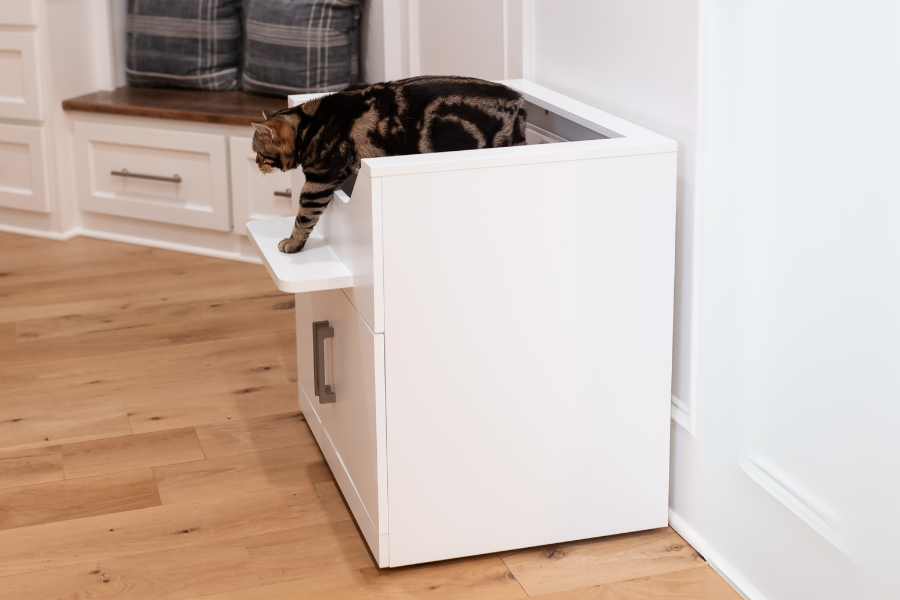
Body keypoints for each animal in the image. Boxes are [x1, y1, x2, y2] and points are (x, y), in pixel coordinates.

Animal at [252, 75, 527, 253]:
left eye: (258, 152)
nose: (256, 164)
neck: (309, 125)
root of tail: (520, 102)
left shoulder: (320, 180)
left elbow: (304, 217)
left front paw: (292, 242)